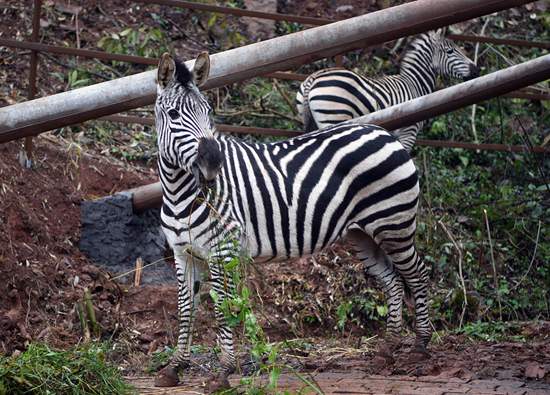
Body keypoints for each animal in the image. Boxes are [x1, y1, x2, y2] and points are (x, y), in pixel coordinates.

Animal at [153, 52, 434, 390]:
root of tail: (385, 134)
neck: (180, 193)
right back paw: (387, 349)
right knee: (392, 280)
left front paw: (223, 371)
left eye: (208, 112)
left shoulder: (224, 249)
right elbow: (185, 308)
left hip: (394, 224)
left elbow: (223, 308)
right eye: (173, 114)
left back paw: (420, 345)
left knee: (418, 274)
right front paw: (174, 367)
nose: (213, 163)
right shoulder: (184, 253)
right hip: (363, 233)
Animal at [296, 29, 480, 152]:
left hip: (313, 122)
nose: (476, 70)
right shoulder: (408, 131)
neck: (414, 83)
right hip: (334, 119)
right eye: (450, 51)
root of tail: (313, 78)